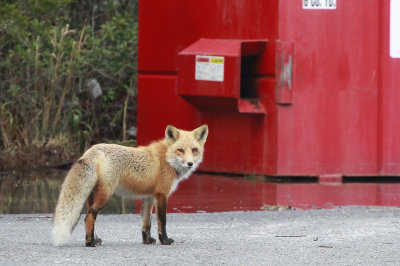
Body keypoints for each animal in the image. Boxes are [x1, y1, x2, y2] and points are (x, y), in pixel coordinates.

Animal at [52, 125, 209, 246]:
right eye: (180, 150)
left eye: (194, 150)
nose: (190, 163)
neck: (167, 158)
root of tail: (93, 149)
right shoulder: (161, 194)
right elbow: (162, 221)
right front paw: (165, 241)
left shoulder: (149, 197)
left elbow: (146, 223)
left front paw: (147, 241)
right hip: (105, 195)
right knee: (89, 216)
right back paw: (90, 243)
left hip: (93, 195)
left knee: (89, 216)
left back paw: (94, 240)